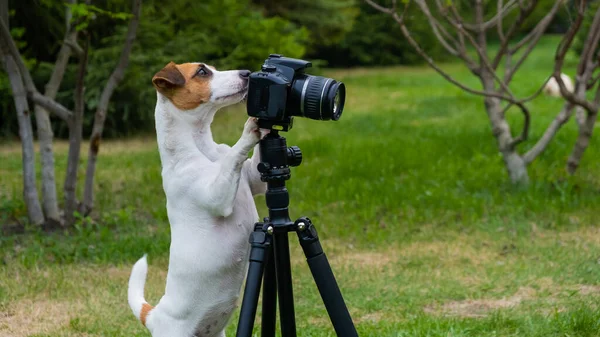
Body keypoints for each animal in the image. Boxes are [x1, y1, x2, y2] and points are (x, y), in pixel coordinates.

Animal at [127, 61, 266, 336]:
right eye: (202, 72)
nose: (247, 73)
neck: (203, 149)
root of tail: (154, 316)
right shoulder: (217, 194)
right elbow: (234, 155)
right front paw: (248, 130)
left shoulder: (255, 179)